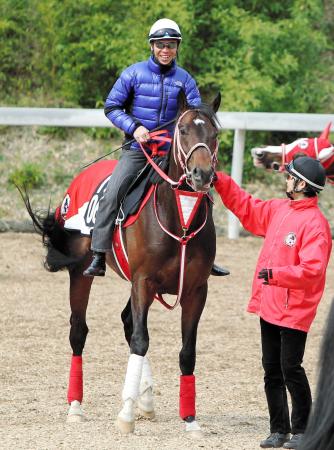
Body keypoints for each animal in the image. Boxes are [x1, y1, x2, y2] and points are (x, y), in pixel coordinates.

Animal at [22, 94, 222, 436]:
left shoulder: (196, 290)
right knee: (79, 331)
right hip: (82, 273)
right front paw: (126, 415)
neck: (178, 218)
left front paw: (190, 420)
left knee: (128, 323)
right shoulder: (143, 281)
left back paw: (146, 401)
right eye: (182, 130)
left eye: (215, 133)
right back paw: (76, 407)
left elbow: (187, 351)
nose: (201, 174)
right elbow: (141, 340)